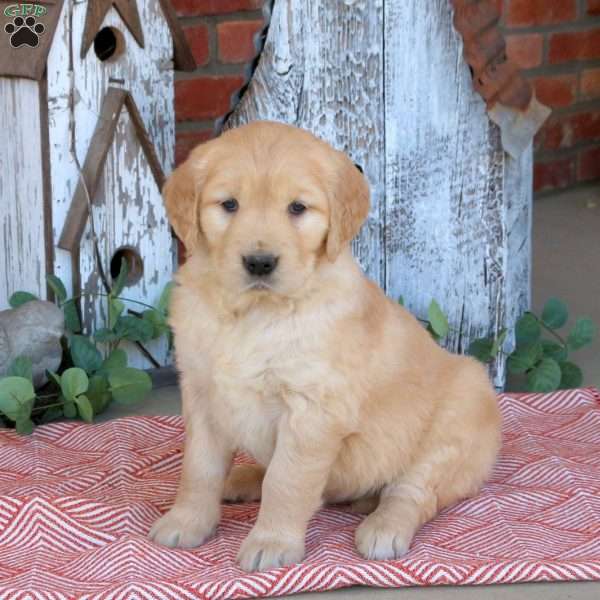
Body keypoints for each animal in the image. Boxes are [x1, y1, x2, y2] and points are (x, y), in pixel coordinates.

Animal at [150, 119, 502, 568]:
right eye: (229, 205)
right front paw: (187, 521)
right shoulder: (202, 394)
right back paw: (244, 477)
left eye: (297, 208)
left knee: (412, 490)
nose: (260, 263)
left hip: (459, 415)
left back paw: (384, 527)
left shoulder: (312, 409)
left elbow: (287, 480)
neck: (256, 315)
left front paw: (271, 542)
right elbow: (198, 468)